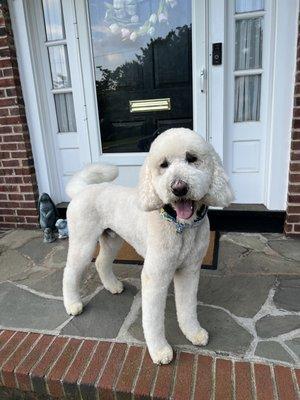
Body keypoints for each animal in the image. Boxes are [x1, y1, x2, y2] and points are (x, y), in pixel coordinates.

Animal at [62, 129, 233, 366]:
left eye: (192, 158)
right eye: (164, 164)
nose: (179, 188)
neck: (180, 226)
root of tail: (82, 190)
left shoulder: (189, 271)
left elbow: (187, 307)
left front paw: (193, 332)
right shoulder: (156, 276)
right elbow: (153, 319)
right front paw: (159, 350)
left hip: (112, 239)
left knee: (101, 262)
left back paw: (112, 286)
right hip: (83, 243)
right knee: (70, 272)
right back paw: (72, 305)